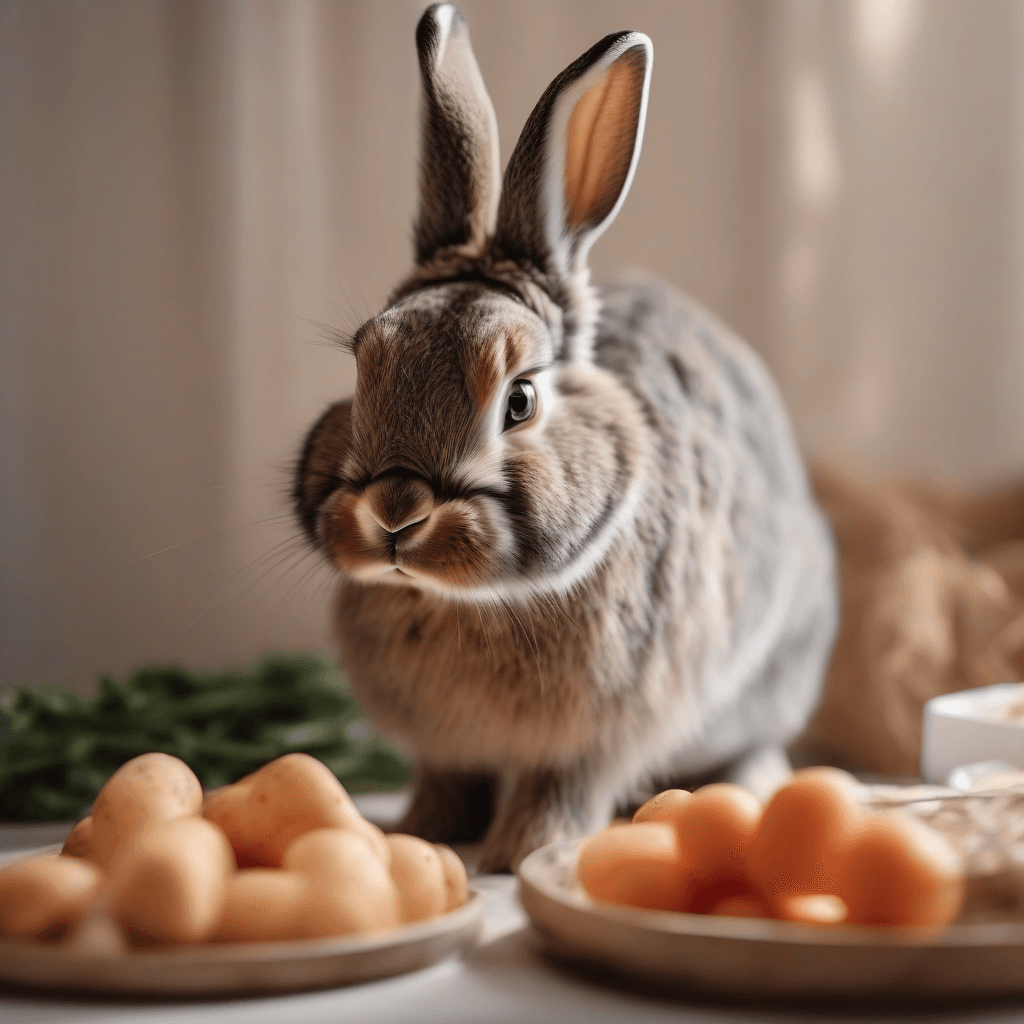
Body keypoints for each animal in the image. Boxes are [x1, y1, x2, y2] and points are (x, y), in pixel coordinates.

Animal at [293, 2, 839, 873]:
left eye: (519, 400)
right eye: (362, 365)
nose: (395, 512)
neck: (463, 600)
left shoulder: (597, 739)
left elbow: (560, 790)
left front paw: (517, 855)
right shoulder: (447, 748)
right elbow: (446, 781)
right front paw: (421, 834)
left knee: (755, 748)